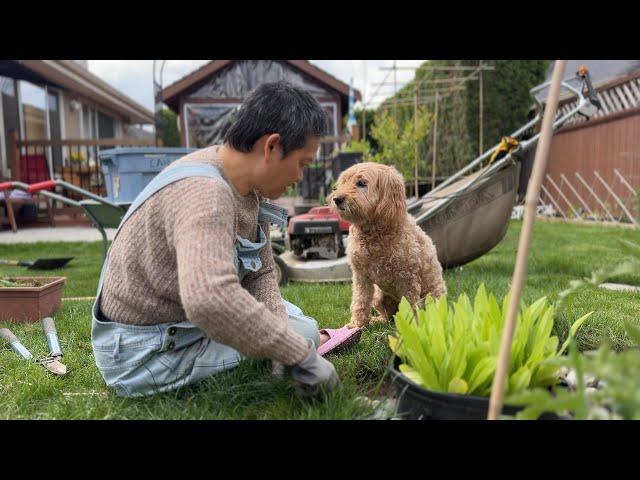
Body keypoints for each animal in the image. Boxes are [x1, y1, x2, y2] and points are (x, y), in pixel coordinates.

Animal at [330, 163, 444, 328]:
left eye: (361, 183)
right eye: (344, 182)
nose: (337, 199)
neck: (373, 234)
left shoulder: (407, 279)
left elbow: (411, 305)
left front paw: (413, 328)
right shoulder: (361, 277)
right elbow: (360, 301)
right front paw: (357, 324)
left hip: (432, 296)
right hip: (379, 297)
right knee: (389, 316)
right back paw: (377, 320)